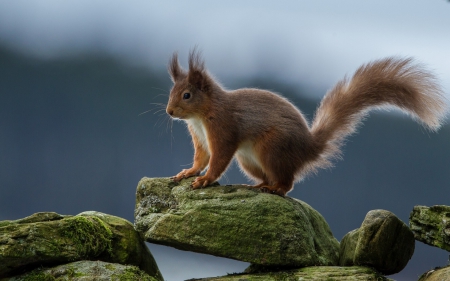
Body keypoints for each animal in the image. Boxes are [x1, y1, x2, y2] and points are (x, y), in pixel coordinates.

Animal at [164, 49, 446, 196]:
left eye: (186, 95)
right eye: (171, 91)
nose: (169, 111)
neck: (201, 116)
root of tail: (307, 149)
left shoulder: (223, 129)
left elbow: (219, 158)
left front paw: (205, 180)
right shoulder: (200, 137)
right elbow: (201, 158)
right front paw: (189, 172)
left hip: (271, 148)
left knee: (288, 182)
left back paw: (275, 189)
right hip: (249, 160)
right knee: (272, 177)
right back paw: (261, 185)